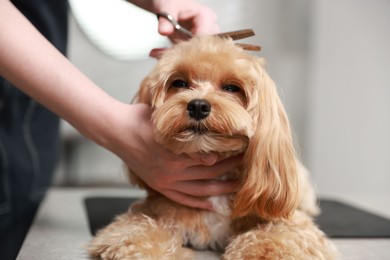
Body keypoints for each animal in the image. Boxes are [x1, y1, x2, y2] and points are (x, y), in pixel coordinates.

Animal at [87, 35, 336, 258]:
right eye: (179, 83)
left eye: (231, 88)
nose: (198, 105)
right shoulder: (152, 212)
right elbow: (137, 230)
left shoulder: (290, 223)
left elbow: (277, 236)